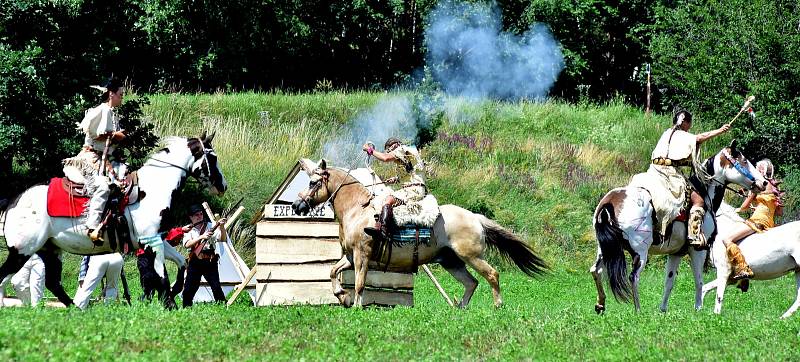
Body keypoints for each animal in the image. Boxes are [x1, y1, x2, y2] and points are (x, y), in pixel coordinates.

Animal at [0, 134, 225, 306]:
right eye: (213, 158)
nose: (223, 185)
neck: (150, 190)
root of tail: (13, 202)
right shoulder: (152, 242)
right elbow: (161, 275)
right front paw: (169, 302)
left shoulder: (155, 240)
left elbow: (181, 263)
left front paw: (174, 292)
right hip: (22, 251)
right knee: (4, 278)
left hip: (50, 250)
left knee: (53, 283)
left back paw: (75, 307)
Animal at [290, 158, 548, 308]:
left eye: (312, 182)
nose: (296, 205)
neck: (358, 209)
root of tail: (475, 217)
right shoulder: (350, 256)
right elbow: (332, 272)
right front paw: (342, 296)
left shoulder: (362, 255)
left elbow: (361, 283)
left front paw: (356, 306)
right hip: (451, 262)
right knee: (472, 282)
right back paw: (460, 308)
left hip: (471, 256)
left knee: (492, 275)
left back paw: (497, 305)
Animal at [588, 143, 768, 312]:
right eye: (743, 161)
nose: (764, 182)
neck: (704, 194)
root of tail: (609, 202)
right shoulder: (698, 250)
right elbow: (699, 281)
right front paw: (698, 309)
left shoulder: (675, 253)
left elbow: (669, 281)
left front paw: (663, 310)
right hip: (640, 252)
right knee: (634, 277)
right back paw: (638, 310)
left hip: (605, 249)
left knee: (595, 271)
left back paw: (600, 304)